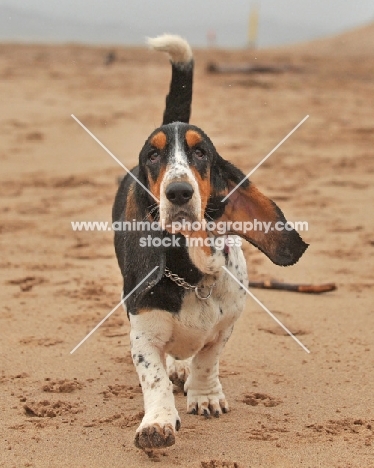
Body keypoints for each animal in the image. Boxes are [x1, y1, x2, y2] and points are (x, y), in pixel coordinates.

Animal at [112, 34, 306, 452]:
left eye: (201, 152)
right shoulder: (143, 332)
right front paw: (158, 423)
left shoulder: (225, 325)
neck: (193, 272)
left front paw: (205, 396)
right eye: (153, 155)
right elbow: (153, 379)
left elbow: (206, 358)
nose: (179, 193)